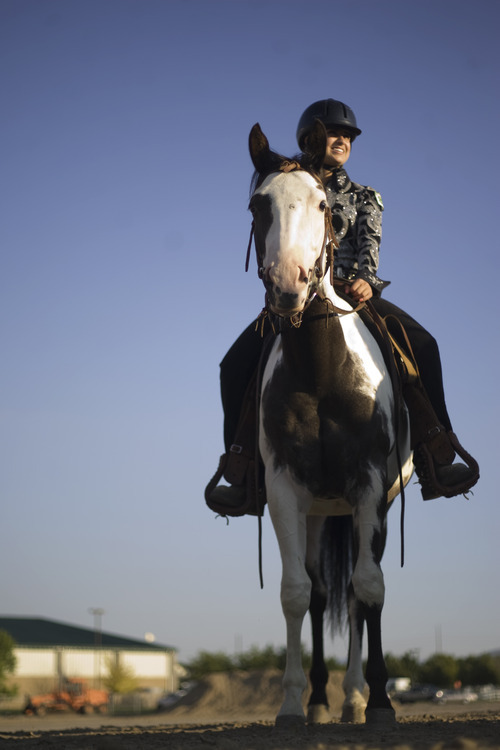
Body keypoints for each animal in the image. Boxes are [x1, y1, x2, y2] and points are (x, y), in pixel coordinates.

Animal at [247, 120, 414, 727]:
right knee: (322, 595)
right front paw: (293, 704)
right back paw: (324, 701)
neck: (321, 370)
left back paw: (357, 698)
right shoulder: (284, 490)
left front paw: (381, 702)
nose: (289, 283)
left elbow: (368, 588)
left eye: (324, 206)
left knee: (364, 595)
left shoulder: (369, 485)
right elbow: (297, 592)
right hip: (322, 510)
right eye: (258, 204)